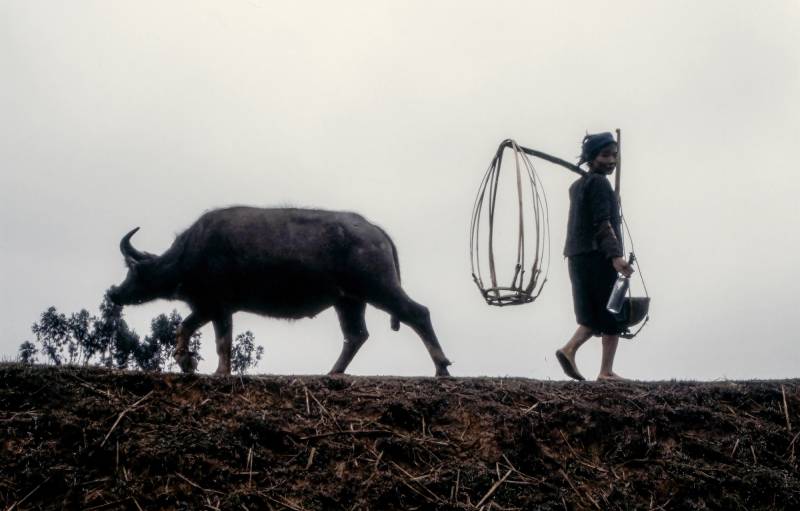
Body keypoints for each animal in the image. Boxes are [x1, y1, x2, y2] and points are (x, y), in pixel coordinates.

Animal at [108, 206, 450, 378]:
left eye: (132, 271)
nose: (114, 293)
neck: (189, 253)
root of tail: (375, 231)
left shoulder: (218, 307)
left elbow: (221, 342)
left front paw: (219, 371)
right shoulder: (207, 306)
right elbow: (185, 327)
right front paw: (186, 361)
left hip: (378, 287)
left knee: (418, 313)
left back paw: (442, 368)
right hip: (349, 301)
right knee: (356, 335)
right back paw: (333, 372)